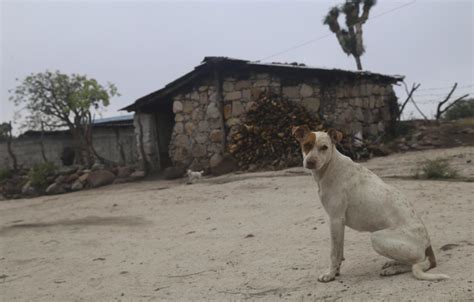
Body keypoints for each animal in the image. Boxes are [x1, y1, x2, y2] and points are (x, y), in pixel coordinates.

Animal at [290, 124, 450, 280]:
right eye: (307, 145)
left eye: (324, 147)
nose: (310, 162)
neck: (330, 166)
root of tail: (428, 245)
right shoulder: (339, 224)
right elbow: (339, 251)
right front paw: (336, 272)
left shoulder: (335, 219)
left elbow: (334, 253)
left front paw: (330, 274)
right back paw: (393, 263)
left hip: (377, 238)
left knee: (417, 262)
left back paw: (393, 269)